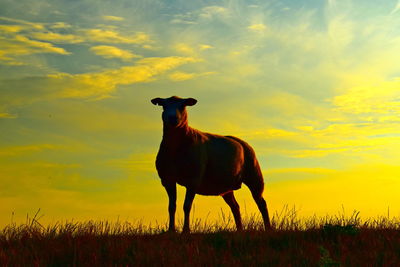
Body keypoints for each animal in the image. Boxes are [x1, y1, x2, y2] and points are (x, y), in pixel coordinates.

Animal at [151, 97, 272, 234]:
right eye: (164, 106)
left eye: (183, 105)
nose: (172, 118)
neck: (175, 148)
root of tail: (241, 141)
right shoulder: (167, 179)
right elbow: (171, 206)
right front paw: (171, 230)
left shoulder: (193, 179)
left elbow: (187, 206)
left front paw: (186, 230)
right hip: (226, 187)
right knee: (235, 207)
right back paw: (239, 230)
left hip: (255, 176)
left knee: (261, 203)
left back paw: (268, 228)